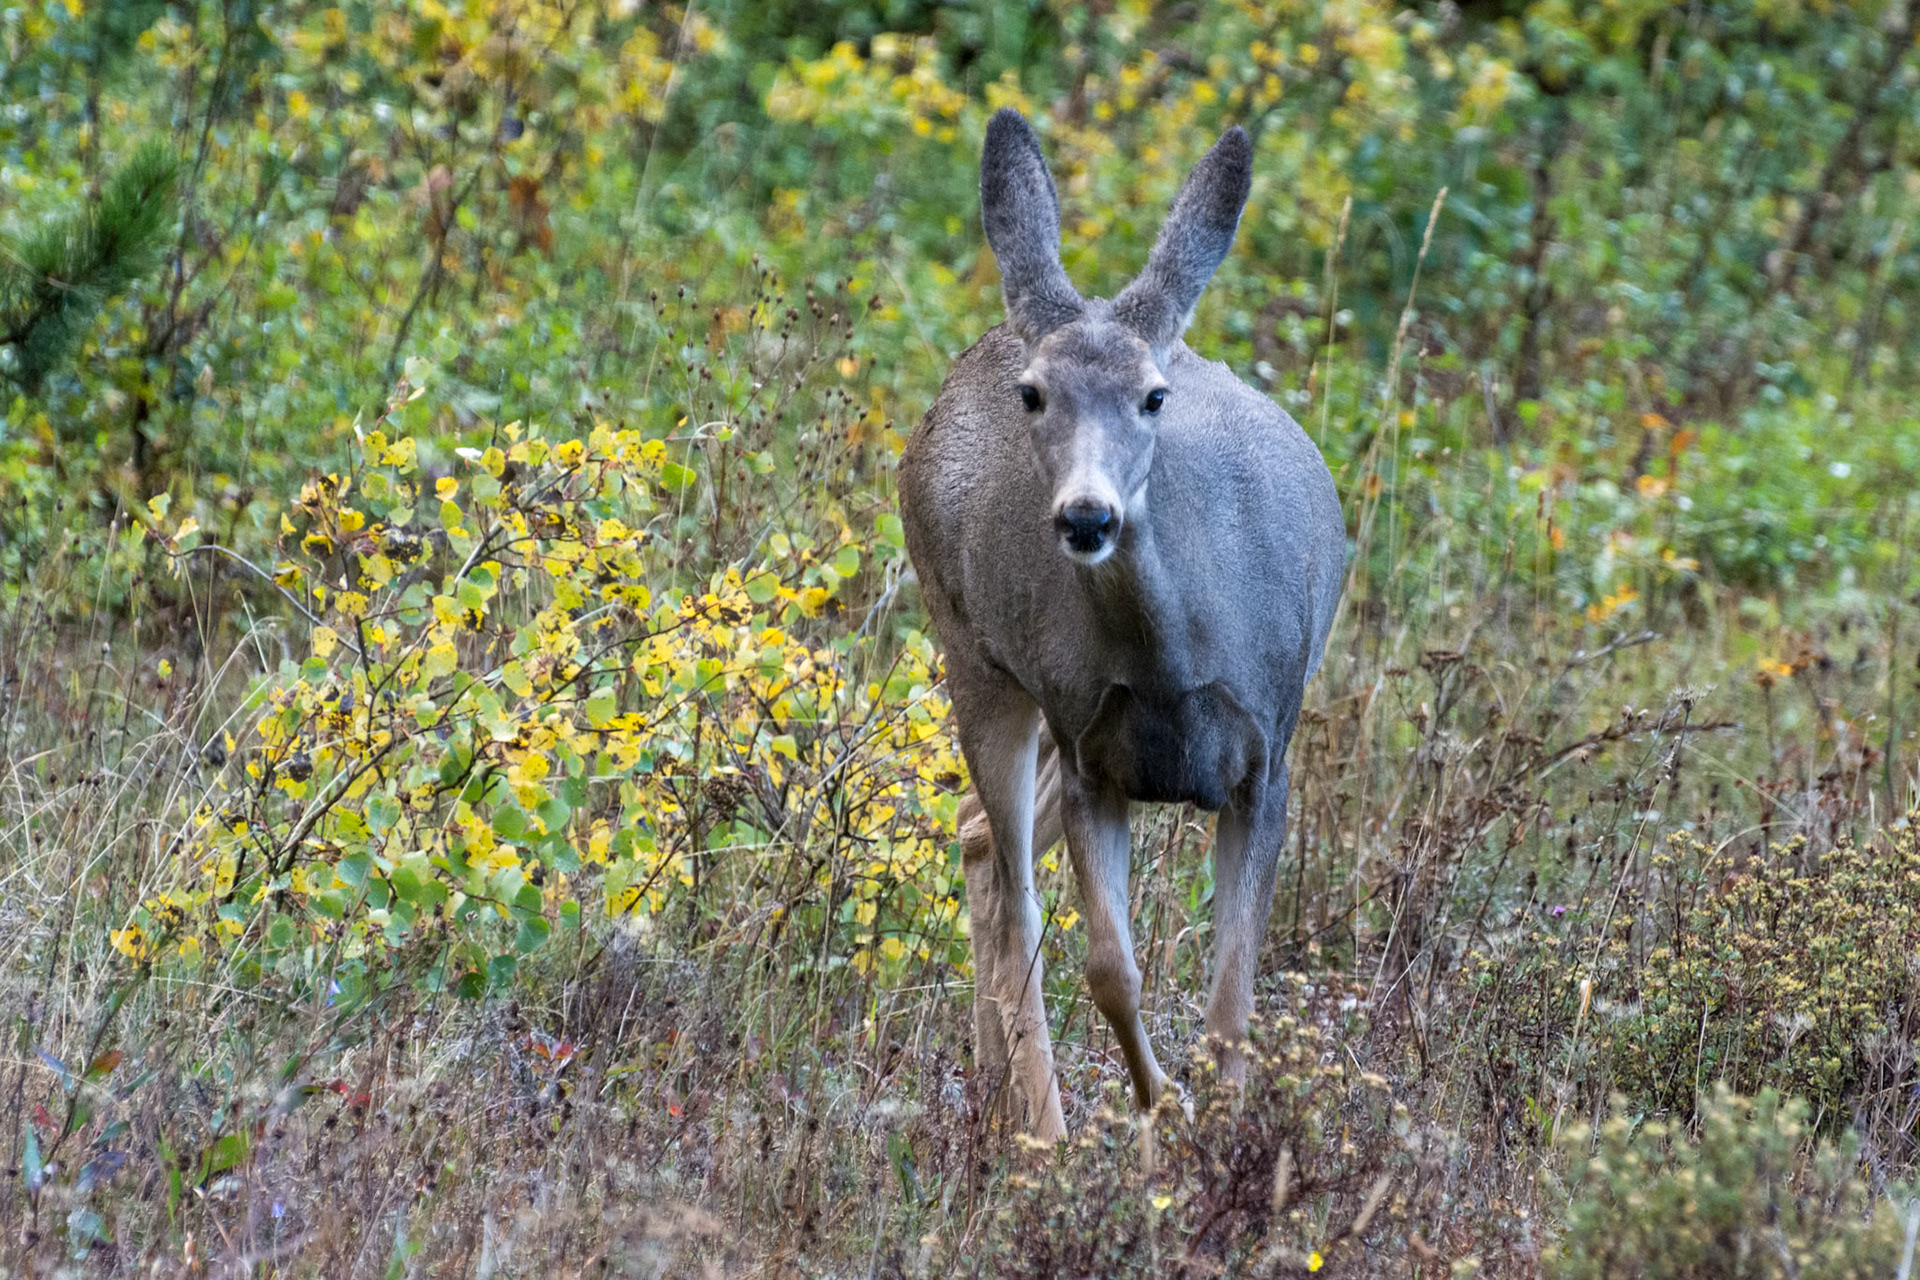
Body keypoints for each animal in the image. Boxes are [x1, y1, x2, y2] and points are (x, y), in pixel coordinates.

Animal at [897, 110, 1346, 1140]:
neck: (1174, 663)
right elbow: (1111, 971)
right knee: (1010, 878)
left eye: (1153, 395)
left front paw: (1219, 1137)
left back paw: (996, 1093)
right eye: (1035, 395)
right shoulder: (1093, 754)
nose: (1087, 516)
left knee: (977, 835)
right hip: (976, 659)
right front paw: (1163, 1114)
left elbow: (1232, 1003)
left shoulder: (1268, 756)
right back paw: (1040, 1127)